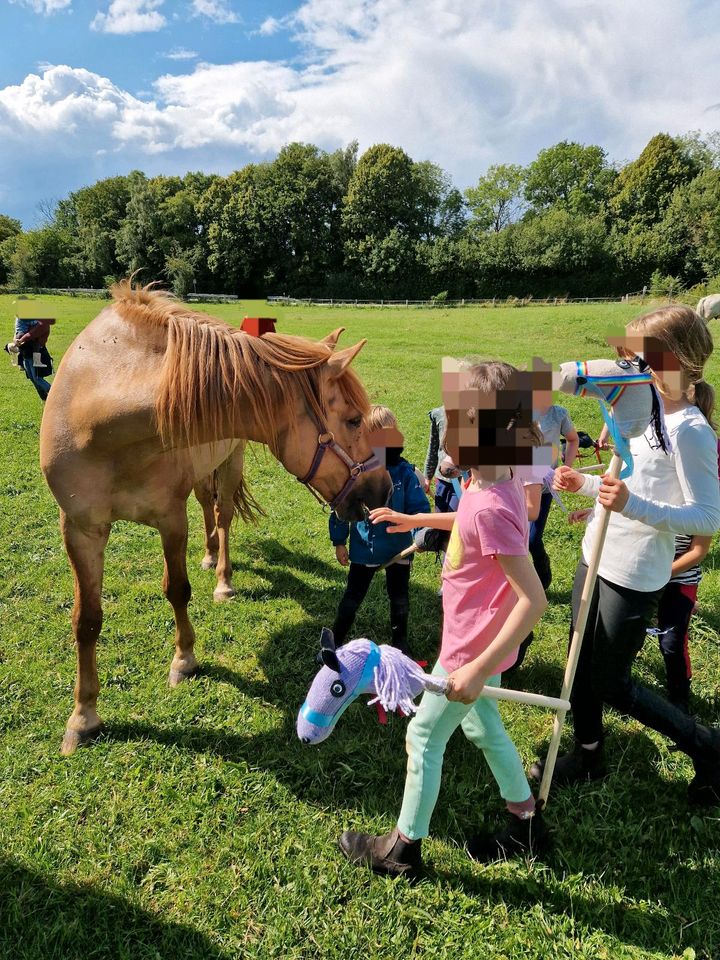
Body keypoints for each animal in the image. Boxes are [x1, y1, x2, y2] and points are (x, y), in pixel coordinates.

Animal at [40, 282, 388, 752]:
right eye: (352, 420)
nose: (384, 488)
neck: (100, 413)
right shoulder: (79, 528)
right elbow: (87, 620)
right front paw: (83, 717)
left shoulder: (170, 518)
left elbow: (176, 590)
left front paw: (184, 660)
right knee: (208, 504)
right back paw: (208, 558)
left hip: (231, 457)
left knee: (221, 516)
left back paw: (222, 578)